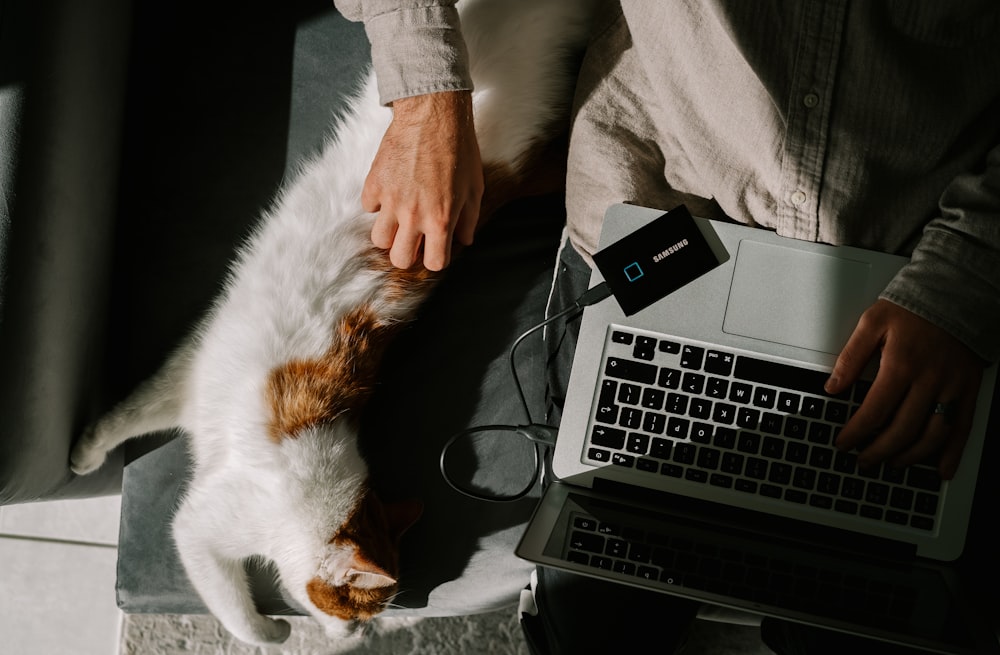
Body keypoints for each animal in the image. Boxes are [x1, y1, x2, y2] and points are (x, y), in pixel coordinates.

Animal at [74, 0, 596, 648]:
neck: (321, 488)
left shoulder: (191, 389)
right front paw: (271, 632)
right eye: (357, 609)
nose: (356, 638)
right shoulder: (202, 508)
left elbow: (136, 411)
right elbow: (230, 600)